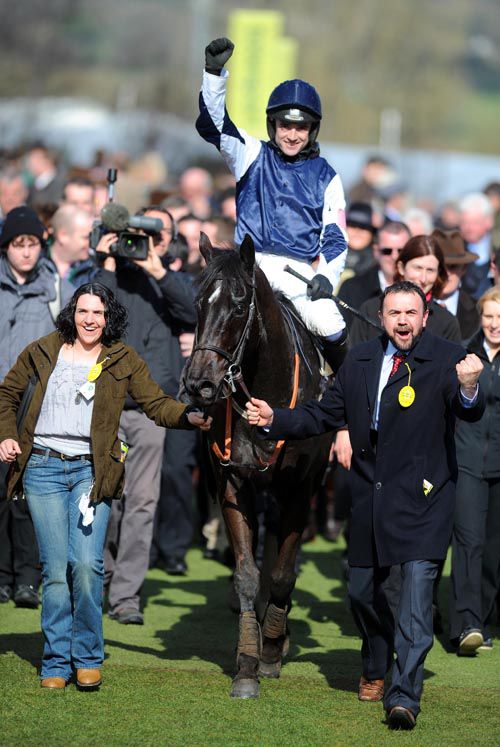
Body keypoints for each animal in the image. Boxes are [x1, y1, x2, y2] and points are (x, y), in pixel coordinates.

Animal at [184, 235, 332, 700]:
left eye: (238, 304)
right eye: (198, 302)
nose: (199, 384)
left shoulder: (301, 486)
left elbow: (283, 573)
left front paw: (269, 650)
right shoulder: (232, 481)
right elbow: (248, 574)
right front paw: (248, 664)